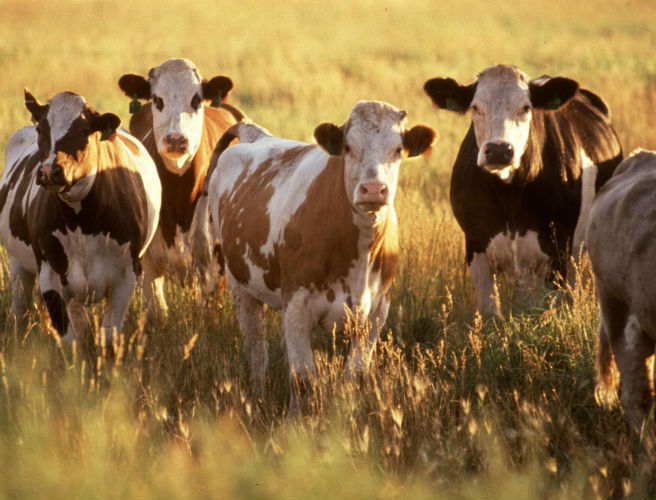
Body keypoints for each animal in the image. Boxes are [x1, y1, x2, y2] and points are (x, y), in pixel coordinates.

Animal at [0, 90, 161, 345]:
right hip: (18, 264)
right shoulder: (50, 272)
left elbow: (109, 337)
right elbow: (69, 338)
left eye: (84, 131)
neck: (81, 223)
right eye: (41, 129)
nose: (49, 171)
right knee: (21, 309)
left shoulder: (128, 274)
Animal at [202, 101, 435, 414]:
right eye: (348, 147)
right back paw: (259, 397)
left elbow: (354, 376)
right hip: (241, 287)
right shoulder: (297, 306)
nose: (373, 189)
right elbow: (303, 379)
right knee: (257, 351)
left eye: (398, 149)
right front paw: (295, 424)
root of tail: (257, 135)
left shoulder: (376, 313)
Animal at [424, 65, 623, 315]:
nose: (499, 150)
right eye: (475, 107)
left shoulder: (558, 249)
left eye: (526, 107)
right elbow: (490, 312)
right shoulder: (475, 246)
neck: (509, 195)